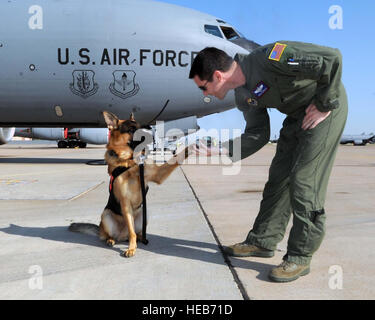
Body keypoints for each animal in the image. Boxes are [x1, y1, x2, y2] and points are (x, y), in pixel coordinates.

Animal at [69, 111, 191, 256]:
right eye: (132, 130)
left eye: (140, 126)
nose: (152, 135)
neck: (130, 162)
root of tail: (122, 235)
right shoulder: (125, 202)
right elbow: (131, 231)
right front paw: (131, 248)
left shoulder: (157, 175)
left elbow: (176, 158)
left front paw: (193, 147)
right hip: (106, 215)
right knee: (116, 234)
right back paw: (112, 240)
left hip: (144, 214)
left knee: (136, 233)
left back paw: (141, 238)